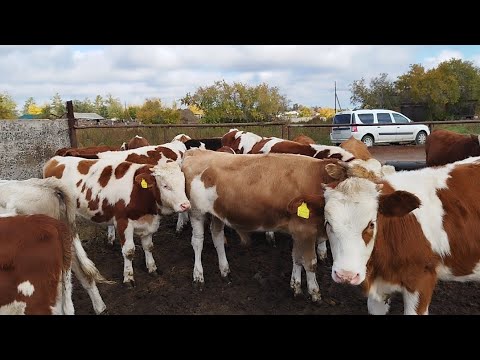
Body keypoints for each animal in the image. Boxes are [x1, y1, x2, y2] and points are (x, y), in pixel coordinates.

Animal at [42, 156, 190, 286]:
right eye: (165, 186)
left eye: (183, 183)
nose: (185, 205)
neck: (138, 191)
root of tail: (54, 160)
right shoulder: (123, 222)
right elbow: (129, 251)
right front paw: (128, 278)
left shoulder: (148, 222)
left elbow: (148, 246)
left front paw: (152, 268)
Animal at [180, 149, 348, 300]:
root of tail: (197, 152)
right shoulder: (306, 230)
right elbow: (310, 262)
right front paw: (314, 292)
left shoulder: (299, 232)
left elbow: (296, 257)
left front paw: (295, 286)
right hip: (196, 211)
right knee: (197, 241)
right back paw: (198, 276)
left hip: (217, 213)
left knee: (218, 237)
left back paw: (225, 270)